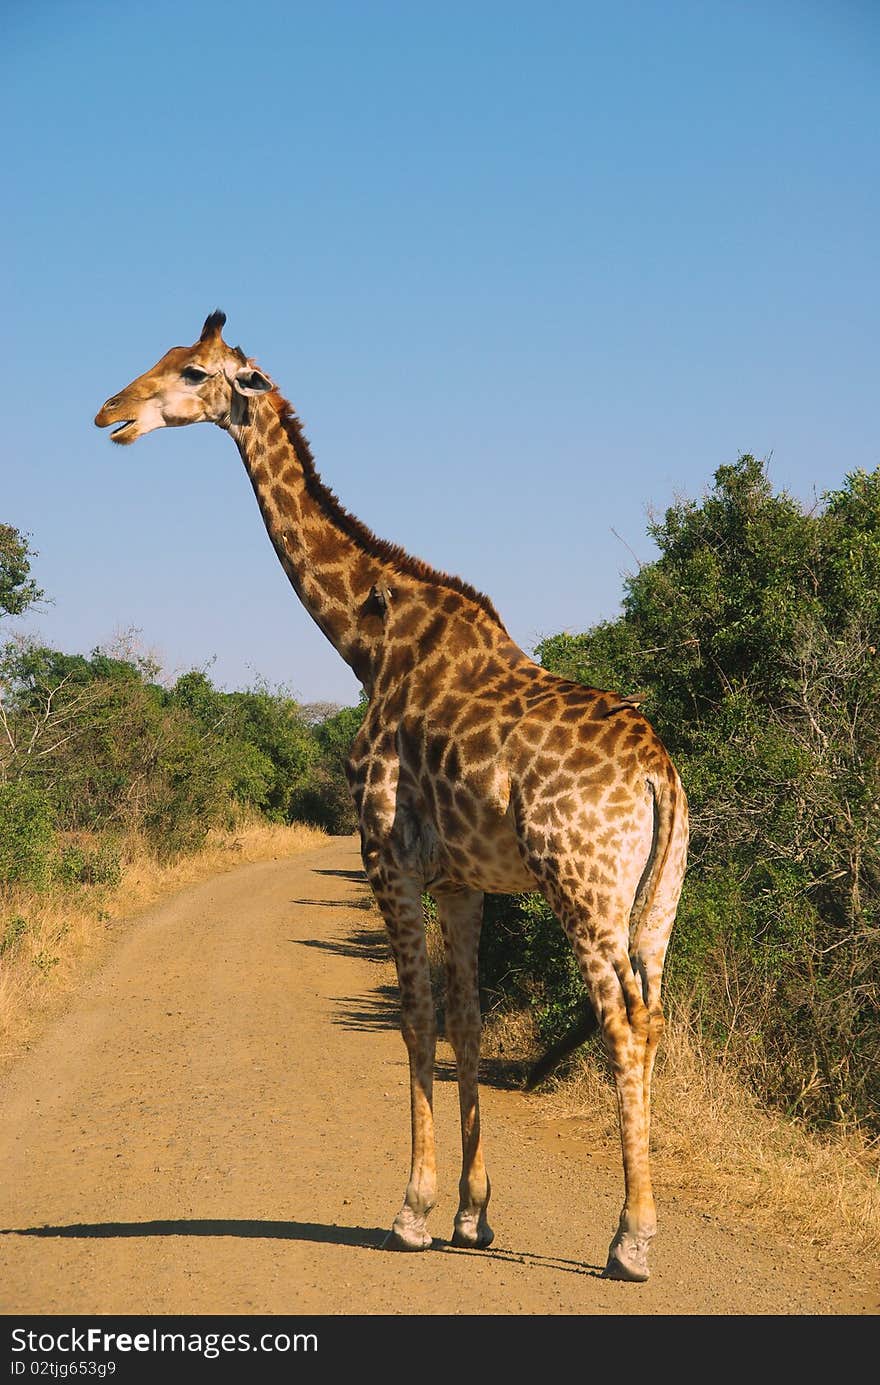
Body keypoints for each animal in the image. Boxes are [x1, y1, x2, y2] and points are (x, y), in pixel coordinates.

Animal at [96, 308, 687, 1279]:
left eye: (189, 371)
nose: (109, 412)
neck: (365, 641)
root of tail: (657, 771)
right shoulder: (464, 879)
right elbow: (468, 1021)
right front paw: (474, 1214)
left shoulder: (388, 857)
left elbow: (415, 1019)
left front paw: (412, 1211)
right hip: (659, 896)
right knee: (656, 1012)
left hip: (583, 883)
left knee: (623, 1022)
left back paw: (631, 1238)